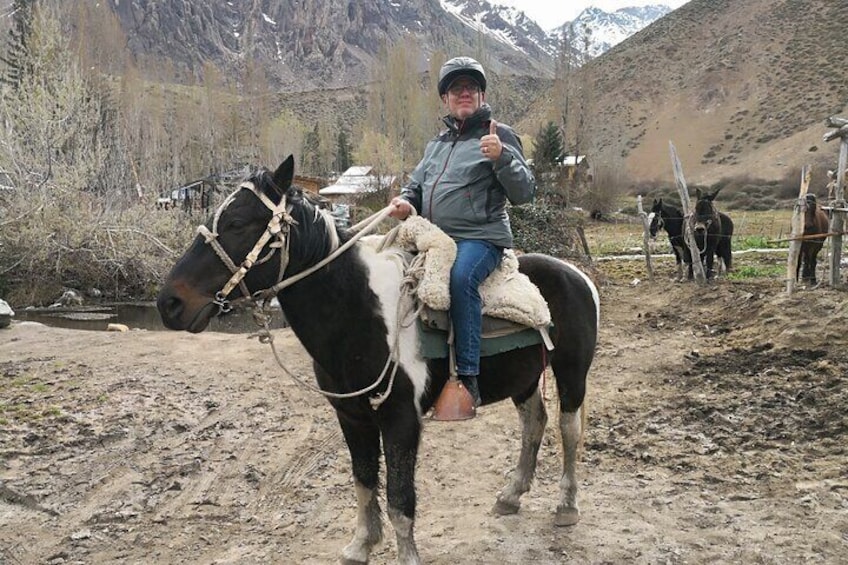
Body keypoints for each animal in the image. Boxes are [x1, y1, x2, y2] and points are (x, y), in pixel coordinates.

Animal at [157, 156, 596, 560]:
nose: (169, 303)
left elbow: (400, 499)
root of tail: (576, 273)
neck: (358, 311)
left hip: (572, 373)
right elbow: (364, 482)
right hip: (524, 379)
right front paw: (360, 545)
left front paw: (406, 556)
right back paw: (511, 495)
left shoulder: (401, 420)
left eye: (237, 223)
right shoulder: (352, 417)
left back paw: (567, 505)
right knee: (534, 422)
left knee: (568, 428)